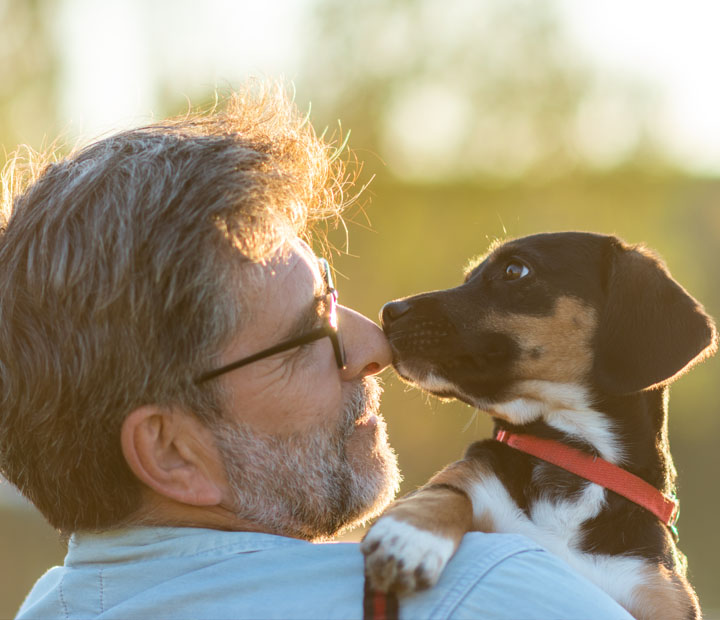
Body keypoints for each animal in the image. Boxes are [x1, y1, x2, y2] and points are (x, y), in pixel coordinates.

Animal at [362, 232, 716, 620]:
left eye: (514, 270)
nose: (388, 312)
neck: (575, 455)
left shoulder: (659, 594)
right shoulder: (473, 479)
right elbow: (445, 492)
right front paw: (410, 537)